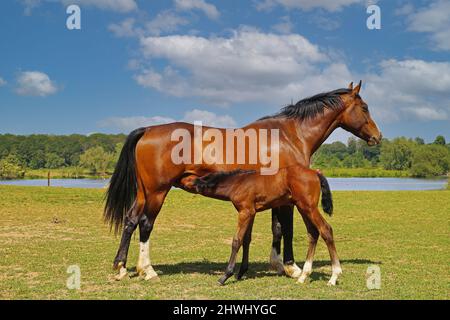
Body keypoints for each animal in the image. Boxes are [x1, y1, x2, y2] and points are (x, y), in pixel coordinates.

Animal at [192, 166, 340, 286]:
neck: (238, 183)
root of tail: (316, 172)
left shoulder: (245, 212)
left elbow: (237, 240)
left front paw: (225, 276)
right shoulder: (250, 212)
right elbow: (246, 240)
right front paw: (240, 273)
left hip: (309, 207)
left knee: (326, 230)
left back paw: (334, 277)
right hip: (303, 207)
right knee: (313, 233)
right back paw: (303, 276)